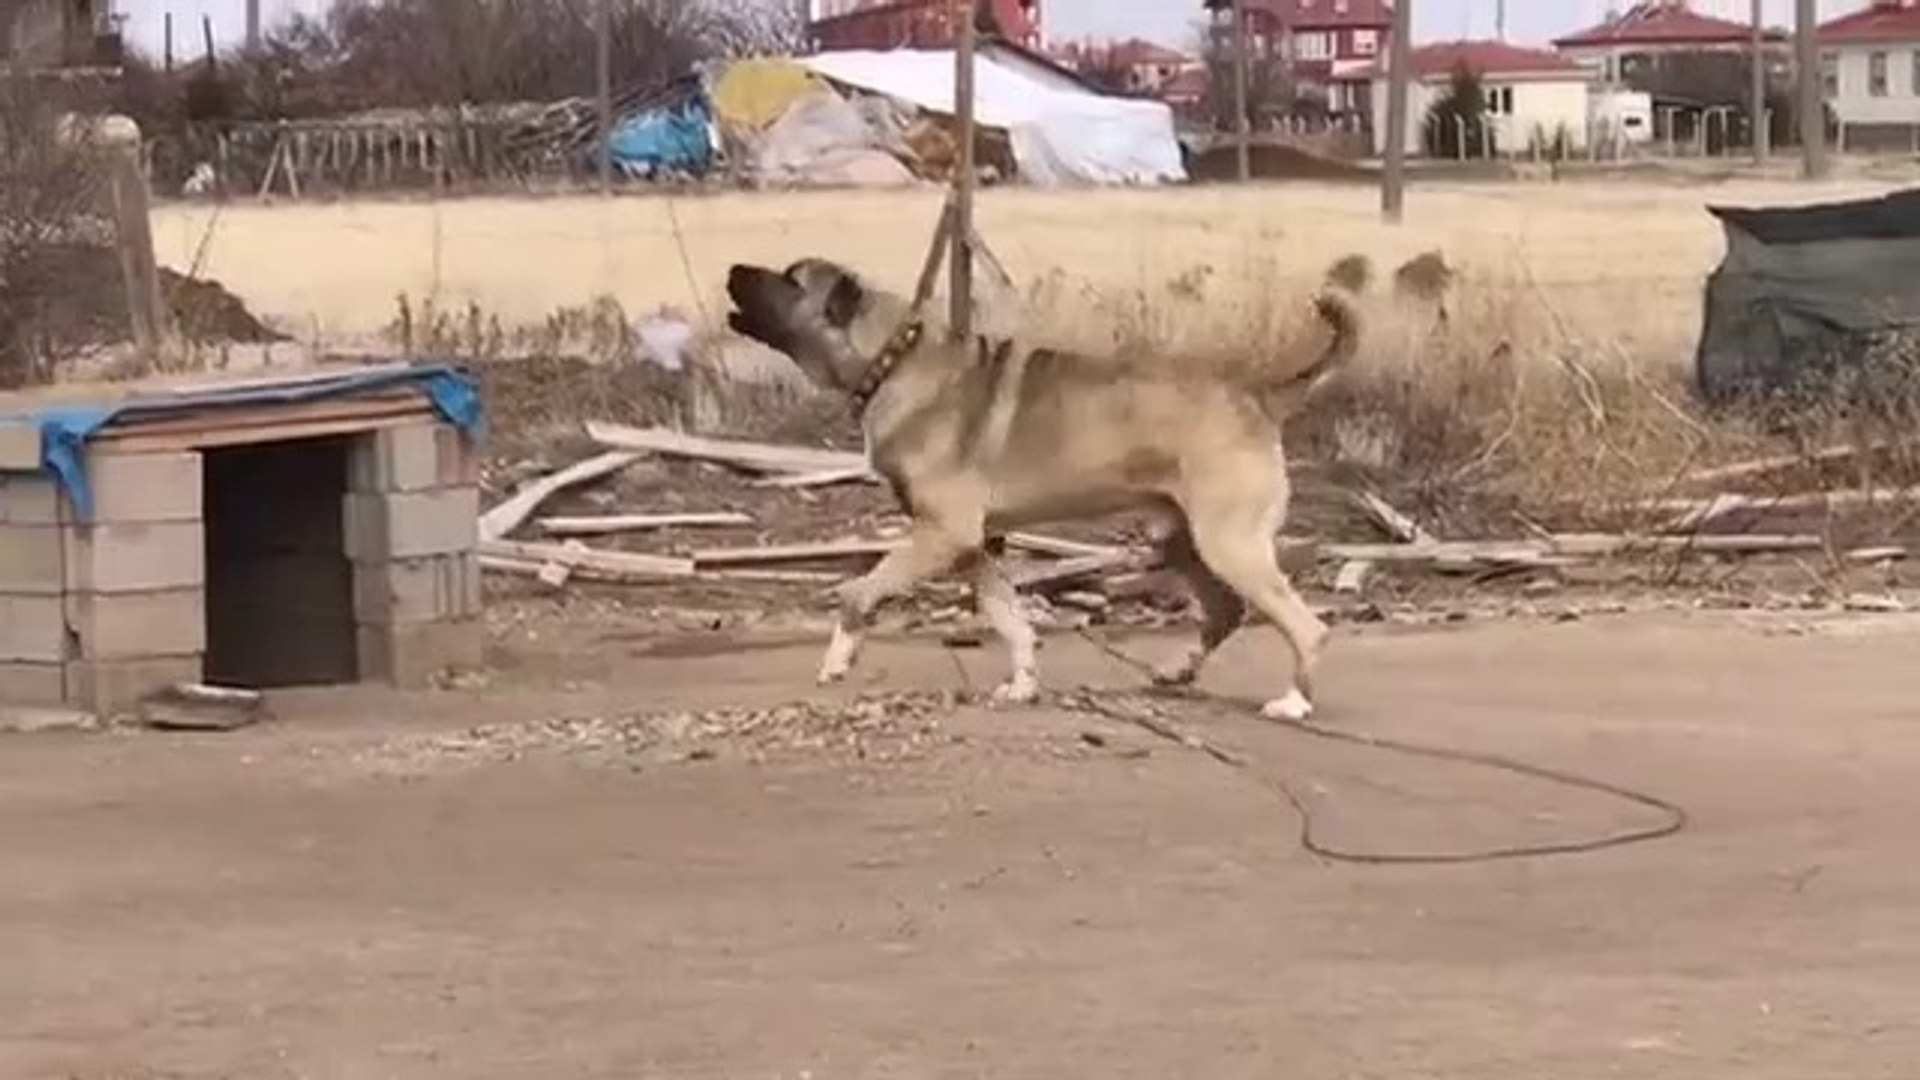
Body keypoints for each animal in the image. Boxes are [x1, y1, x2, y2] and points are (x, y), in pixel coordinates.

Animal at [721, 255, 1367, 718]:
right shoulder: (973, 546)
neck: (891, 359)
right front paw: (1024, 684)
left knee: (1305, 626)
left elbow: (860, 590)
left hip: (1228, 542)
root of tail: (1260, 394)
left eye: (792, 279)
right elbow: (1010, 619)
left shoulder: (940, 535)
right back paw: (1178, 671)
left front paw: (839, 656)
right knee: (1226, 611)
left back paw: (1295, 702)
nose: (732, 271)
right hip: (1180, 537)